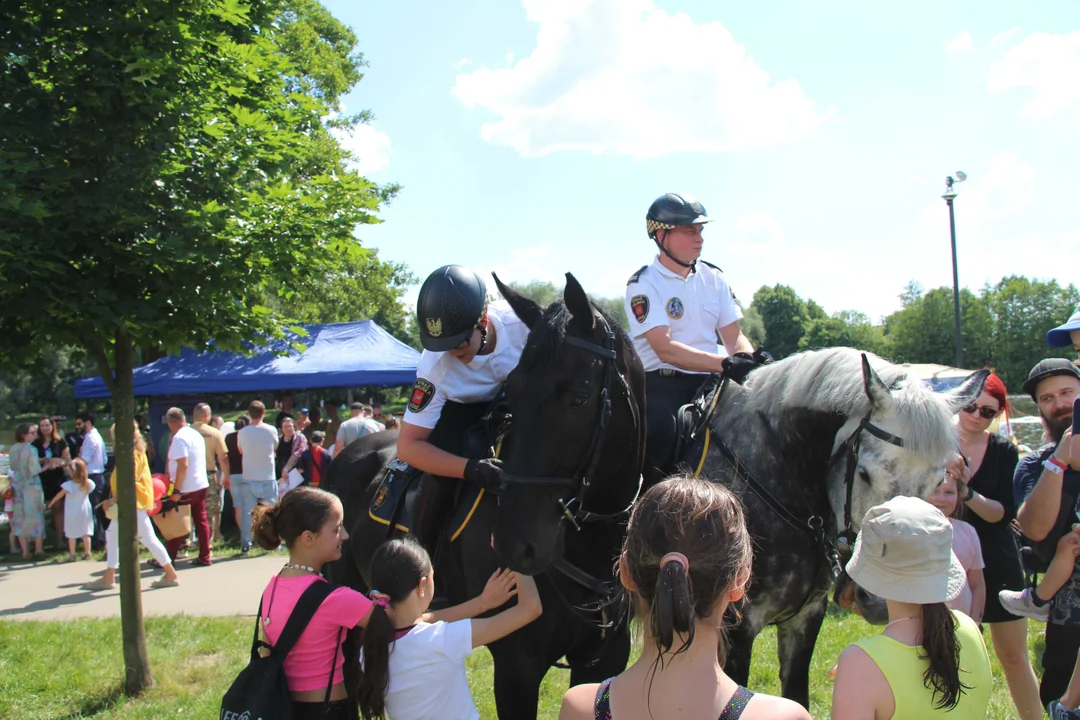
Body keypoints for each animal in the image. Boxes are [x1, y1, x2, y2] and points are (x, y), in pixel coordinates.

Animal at [319, 273, 639, 716]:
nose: (515, 545)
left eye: (579, 397)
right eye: (513, 392)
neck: (585, 549)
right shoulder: (516, 667)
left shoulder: (603, 659)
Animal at [678, 349, 989, 708]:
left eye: (939, 481)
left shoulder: (806, 617)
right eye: (865, 474)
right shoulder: (738, 625)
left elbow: (797, 697)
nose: (881, 600)